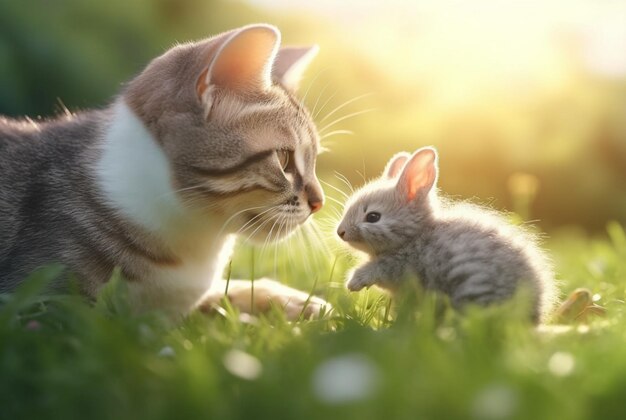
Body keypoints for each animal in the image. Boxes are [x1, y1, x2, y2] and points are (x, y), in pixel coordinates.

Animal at [336, 148, 556, 322]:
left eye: (373, 217)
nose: (341, 232)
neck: (414, 236)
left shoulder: (401, 265)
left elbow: (378, 269)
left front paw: (353, 282)